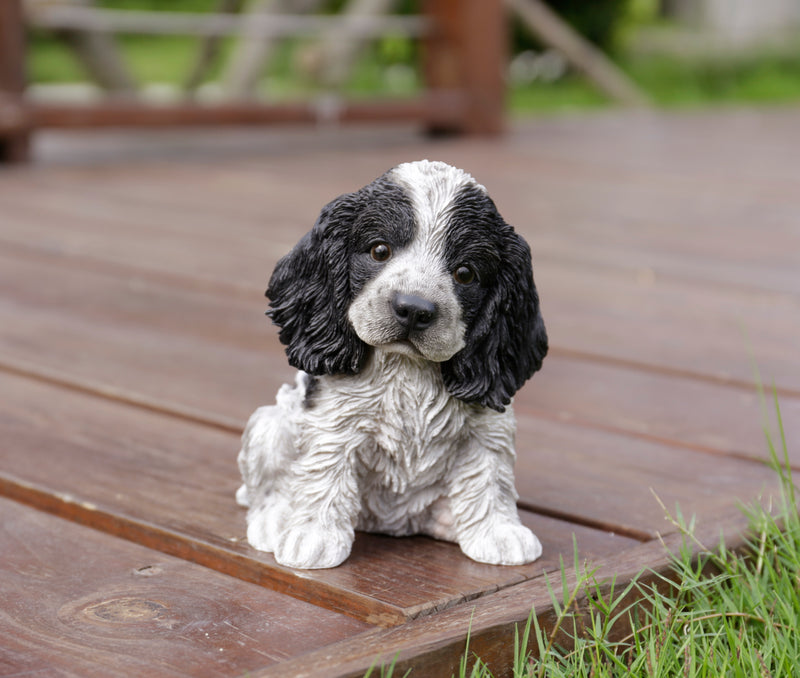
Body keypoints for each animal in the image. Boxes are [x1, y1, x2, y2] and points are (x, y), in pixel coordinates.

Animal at [238, 159, 548, 568]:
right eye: (379, 251)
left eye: (465, 273)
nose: (414, 309)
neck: (407, 368)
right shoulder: (333, 421)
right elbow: (325, 472)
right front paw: (313, 537)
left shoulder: (488, 428)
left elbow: (489, 476)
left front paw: (498, 533)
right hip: (268, 425)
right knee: (265, 488)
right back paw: (273, 522)